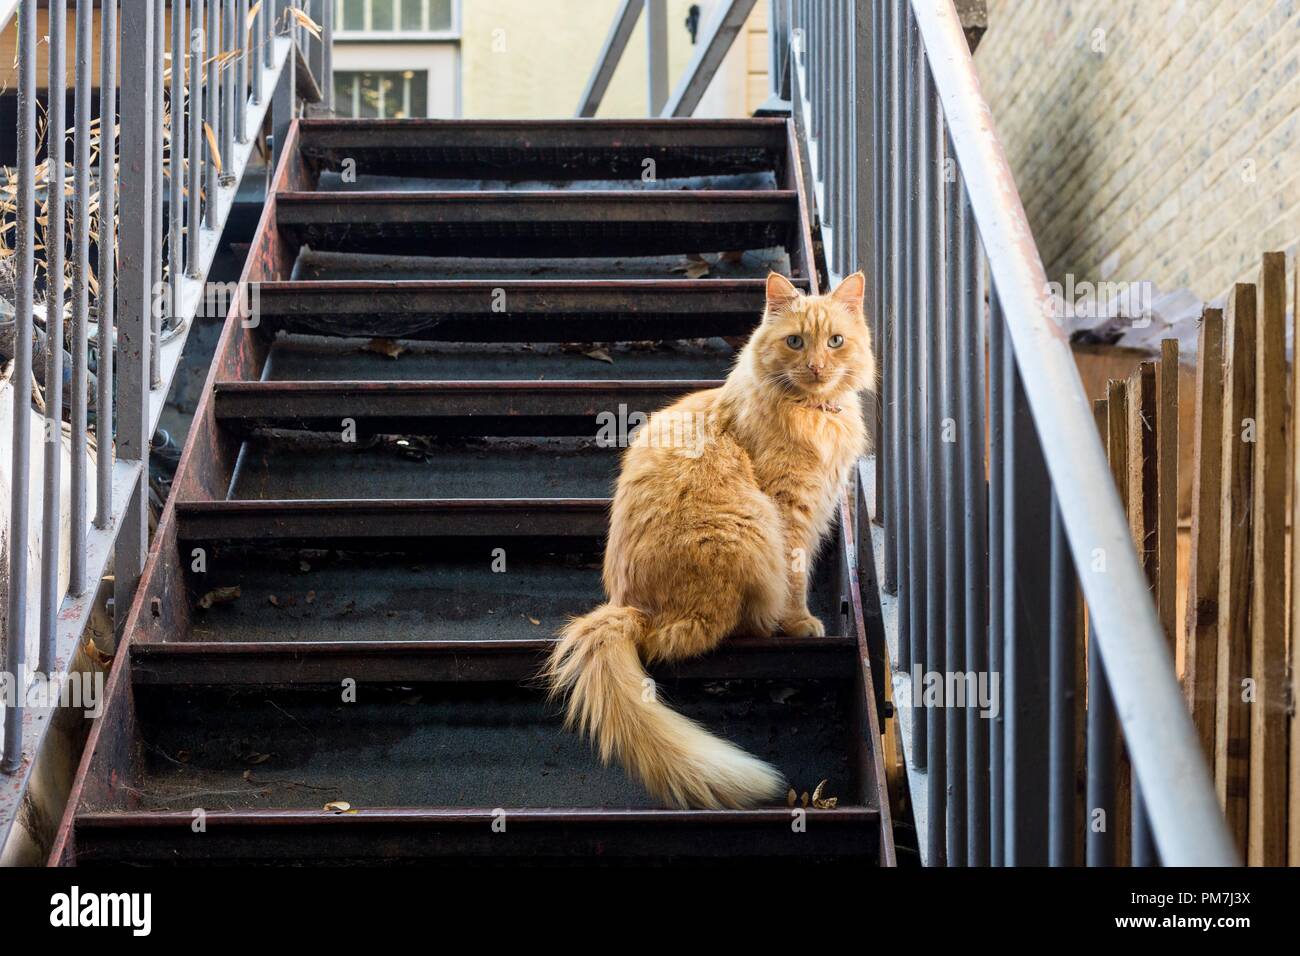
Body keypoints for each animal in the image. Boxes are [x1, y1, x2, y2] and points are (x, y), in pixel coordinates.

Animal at [538, 273, 873, 811]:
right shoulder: (790, 512)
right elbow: (797, 579)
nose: (817, 367)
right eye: (795, 342)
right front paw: (800, 622)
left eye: (836, 342)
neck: (813, 414)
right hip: (750, 526)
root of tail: (628, 609)